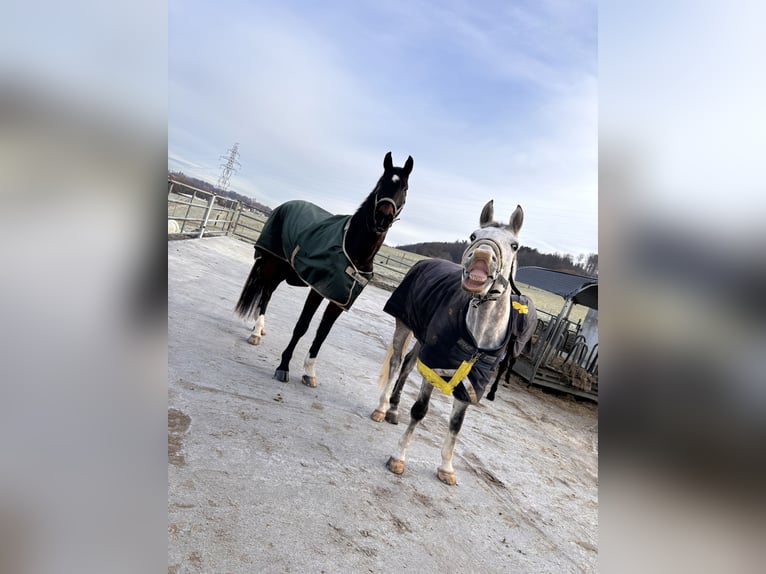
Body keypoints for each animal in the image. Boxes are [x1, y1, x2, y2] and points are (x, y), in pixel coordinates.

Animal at [236, 152, 412, 388]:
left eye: (405, 187)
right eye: (381, 183)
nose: (383, 217)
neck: (353, 249)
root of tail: (285, 205)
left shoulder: (338, 300)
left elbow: (322, 334)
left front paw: (309, 372)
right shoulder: (318, 289)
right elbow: (302, 326)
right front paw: (283, 366)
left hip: (282, 271)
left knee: (267, 293)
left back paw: (260, 328)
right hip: (273, 265)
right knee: (266, 295)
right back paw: (256, 332)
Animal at [368, 201, 536, 486]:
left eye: (514, 245)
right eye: (473, 236)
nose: (482, 256)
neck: (478, 336)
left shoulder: (472, 382)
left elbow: (456, 424)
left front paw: (446, 468)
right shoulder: (433, 367)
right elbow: (419, 410)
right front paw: (398, 458)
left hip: (422, 340)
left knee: (408, 365)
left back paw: (393, 409)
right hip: (404, 326)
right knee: (396, 363)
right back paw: (382, 408)